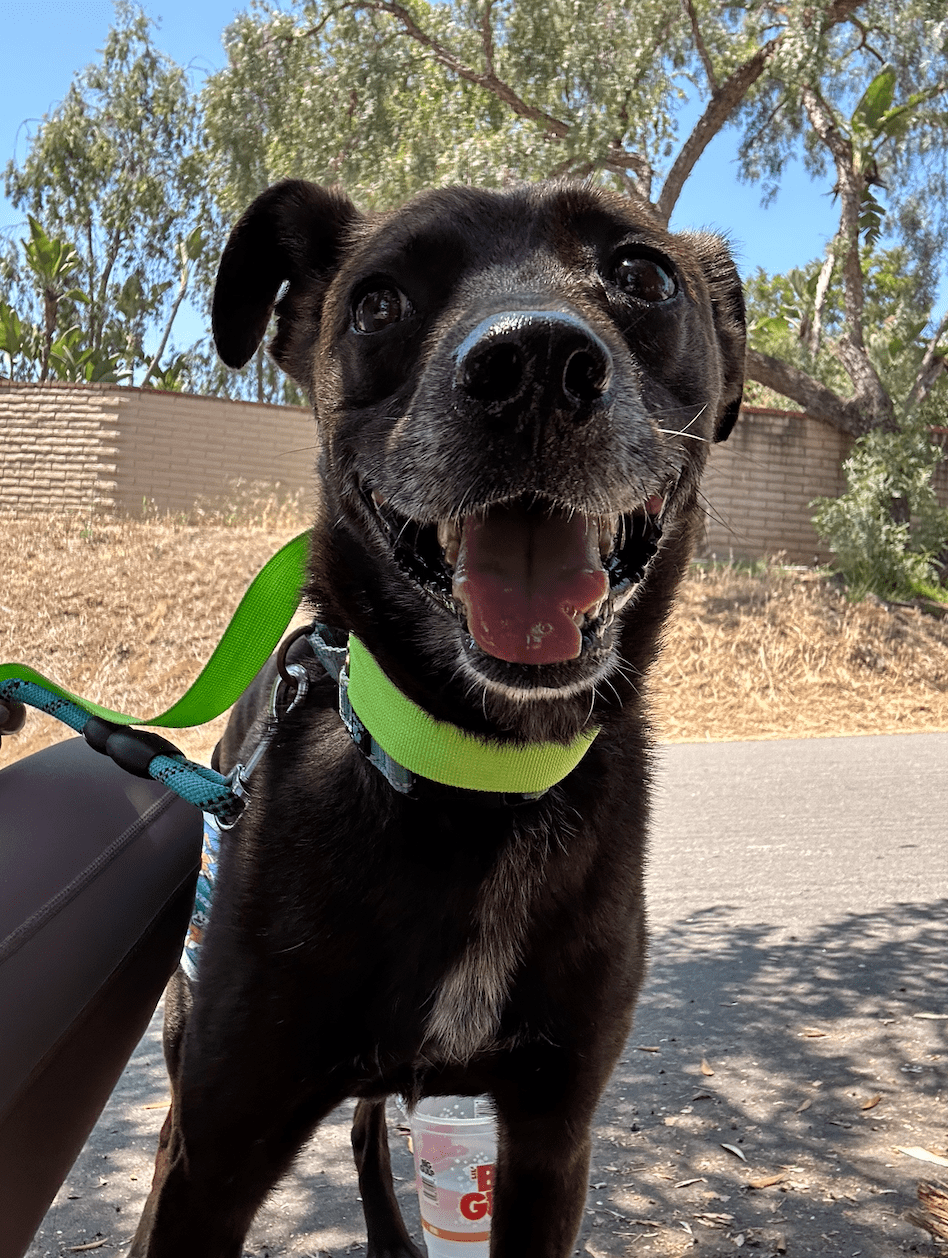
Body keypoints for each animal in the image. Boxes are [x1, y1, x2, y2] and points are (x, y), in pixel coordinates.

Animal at [129, 177, 744, 1258]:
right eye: (379, 301)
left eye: (644, 275)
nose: (533, 365)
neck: (480, 772)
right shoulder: (211, 1157)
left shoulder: (550, 1138)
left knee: (369, 1118)